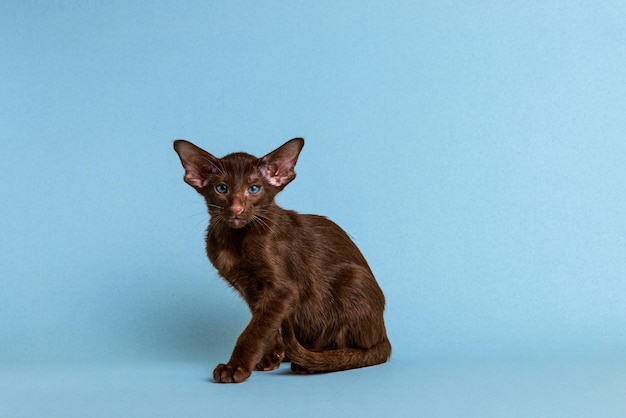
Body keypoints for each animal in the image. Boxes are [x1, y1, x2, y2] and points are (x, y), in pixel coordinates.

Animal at [173, 137, 390, 382]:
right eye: (221, 188)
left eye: (254, 189)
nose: (236, 208)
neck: (236, 239)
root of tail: (384, 337)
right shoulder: (251, 289)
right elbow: (263, 322)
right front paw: (272, 354)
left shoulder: (282, 290)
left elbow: (255, 329)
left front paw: (235, 367)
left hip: (352, 279)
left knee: (355, 347)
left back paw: (313, 361)